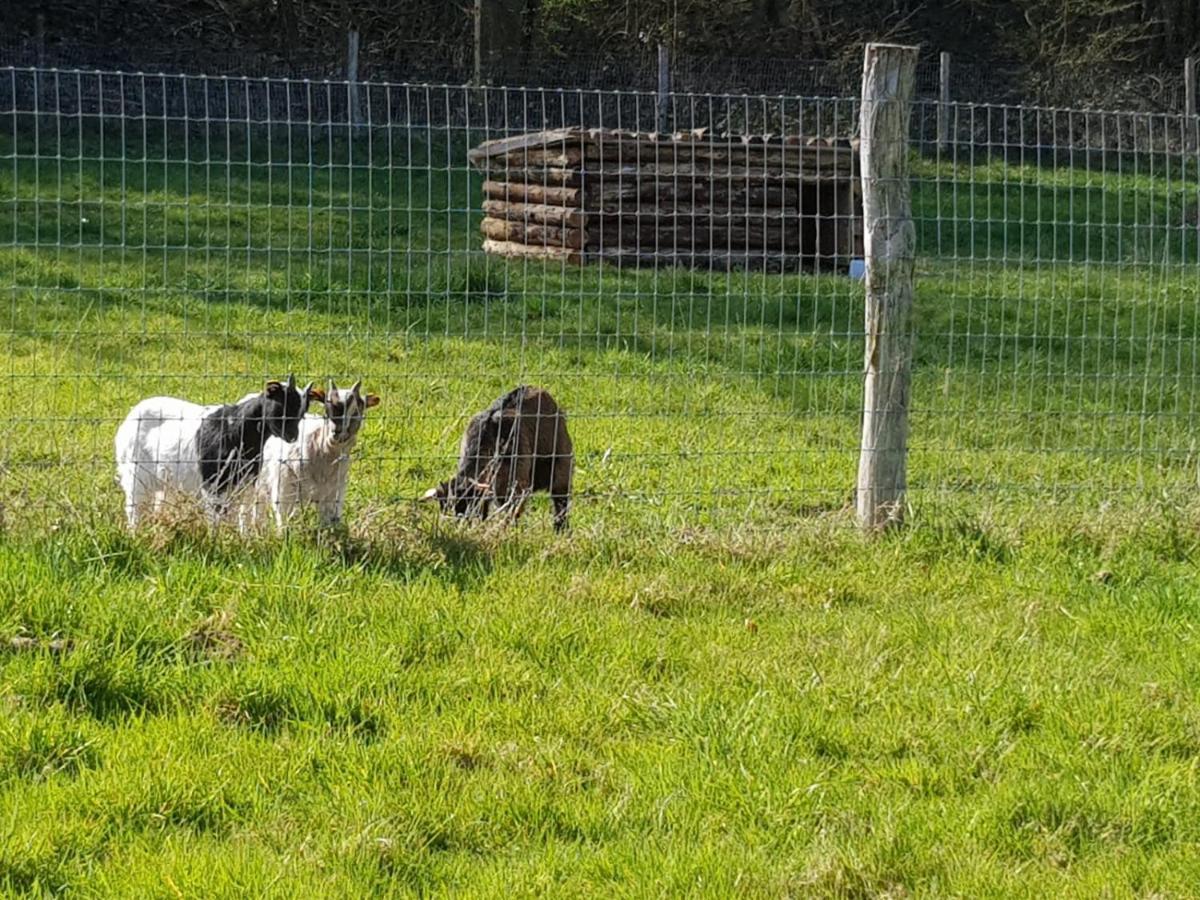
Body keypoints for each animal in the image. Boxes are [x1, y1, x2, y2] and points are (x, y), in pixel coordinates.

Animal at [112, 374, 316, 528]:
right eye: (282, 407)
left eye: (302, 413)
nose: (292, 436)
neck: (236, 429)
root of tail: (131, 416)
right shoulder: (213, 484)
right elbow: (216, 517)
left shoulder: (247, 484)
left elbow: (242, 515)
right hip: (134, 474)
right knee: (133, 508)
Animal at [240, 376, 379, 532]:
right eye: (326, 408)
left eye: (357, 410)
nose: (337, 432)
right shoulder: (284, 489)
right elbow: (283, 521)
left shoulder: (334, 494)